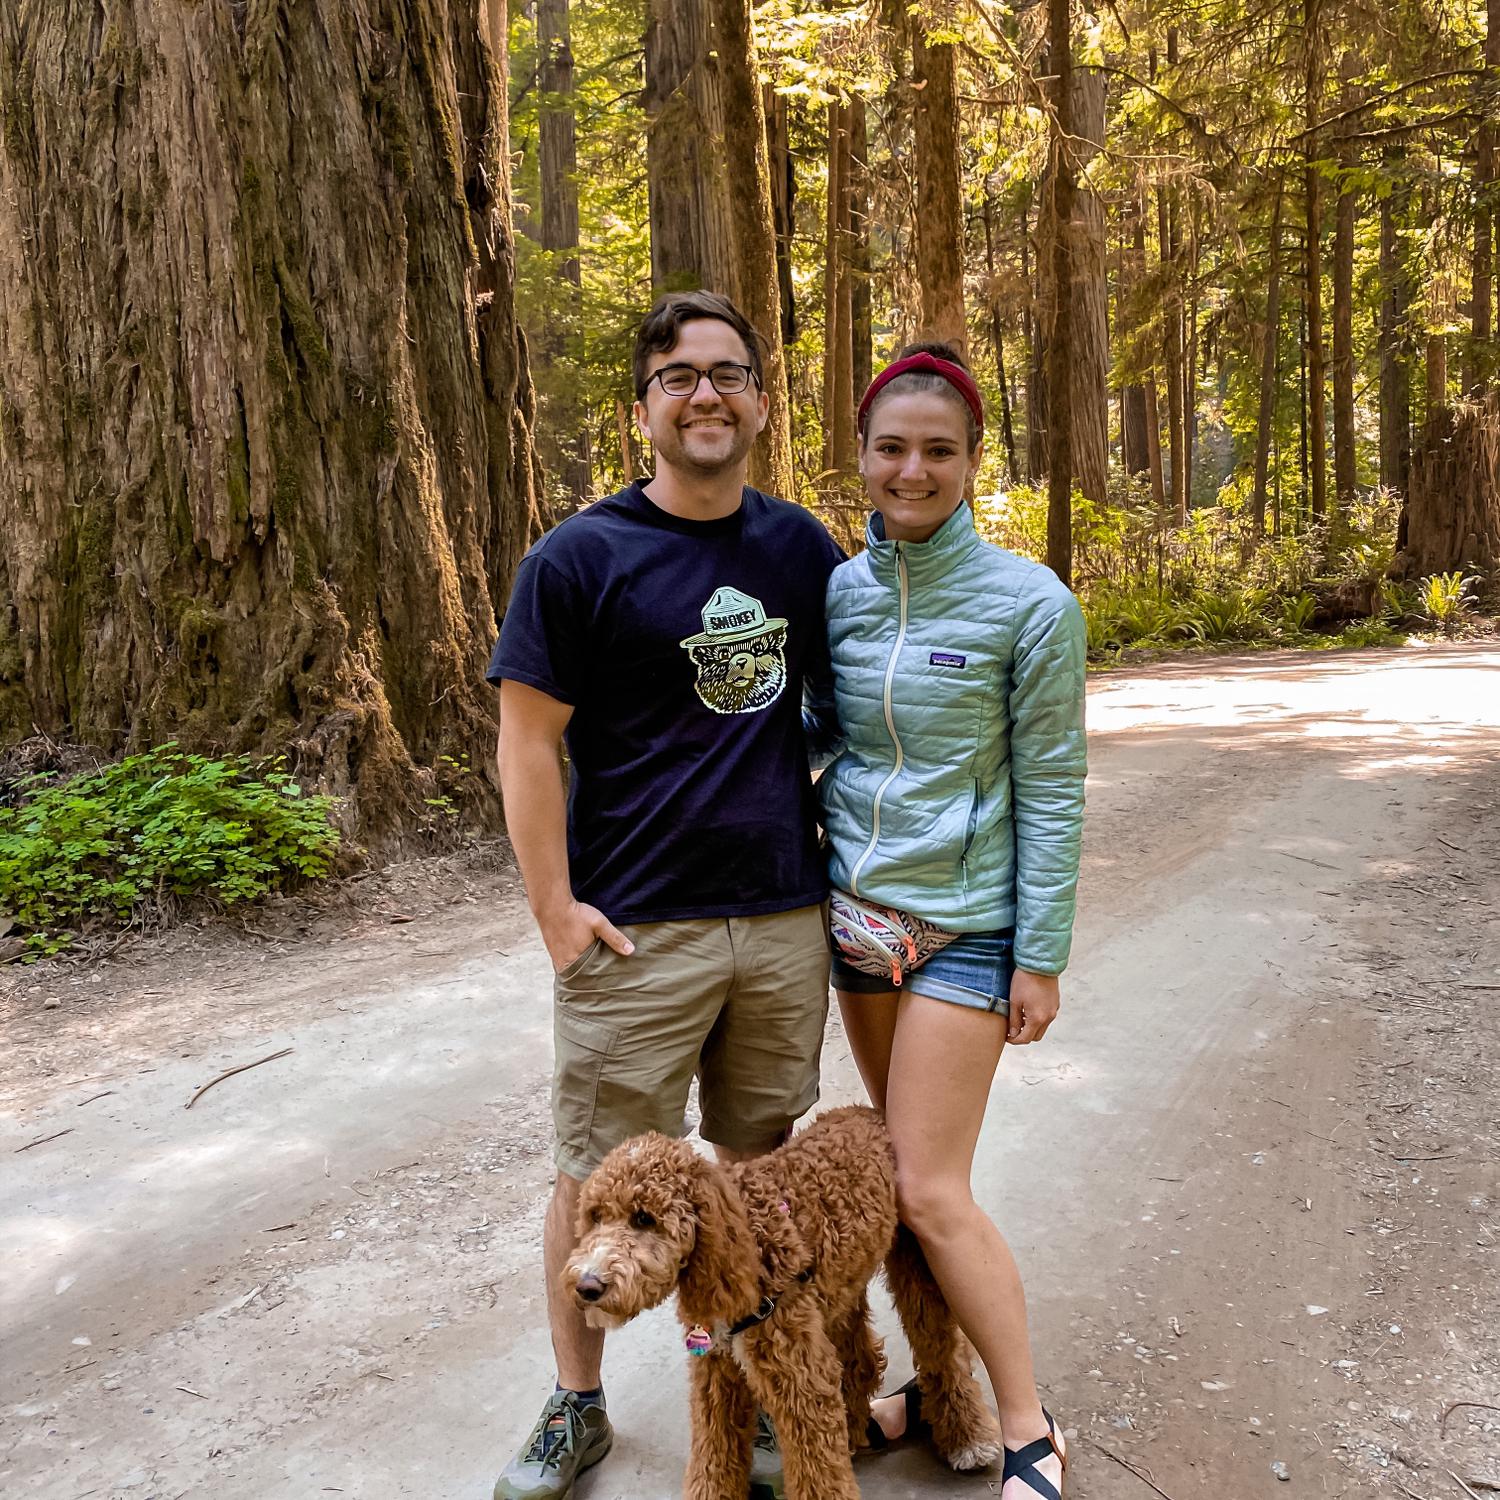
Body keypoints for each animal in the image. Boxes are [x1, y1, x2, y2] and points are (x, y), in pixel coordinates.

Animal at [561, 1104, 996, 1500]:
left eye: (644, 1218)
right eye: (595, 1215)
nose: (587, 1285)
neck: (743, 1238)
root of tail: (868, 1112)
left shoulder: (799, 1379)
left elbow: (817, 1468)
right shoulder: (717, 1375)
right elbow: (713, 1455)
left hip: (914, 1268)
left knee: (943, 1350)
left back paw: (969, 1437)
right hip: (839, 1293)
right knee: (861, 1360)